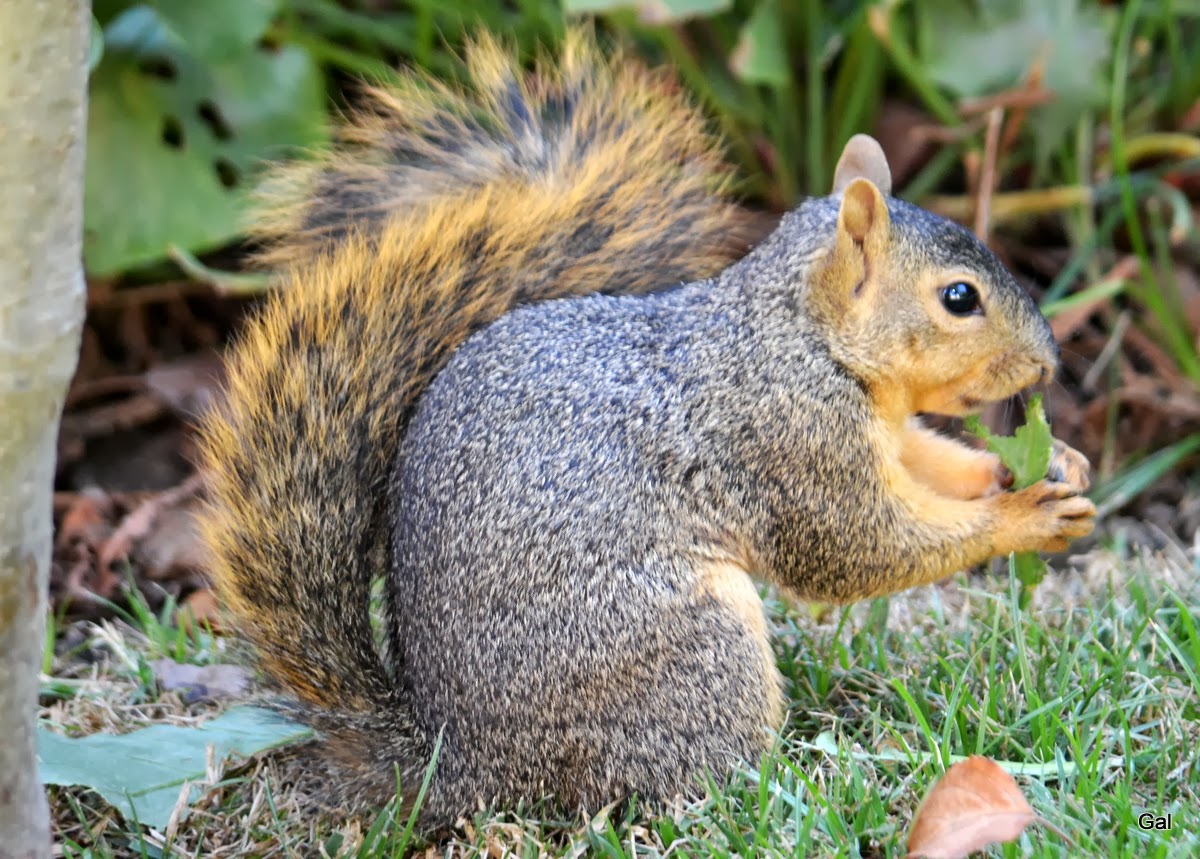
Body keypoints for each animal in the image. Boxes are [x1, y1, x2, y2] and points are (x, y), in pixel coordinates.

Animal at [197, 29, 1096, 827]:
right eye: (959, 298)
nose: (1050, 361)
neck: (802, 334)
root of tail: (457, 765)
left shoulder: (874, 429)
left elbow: (924, 458)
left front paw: (1041, 466)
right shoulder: (787, 439)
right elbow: (855, 548)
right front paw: (1023, 514)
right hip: (689, 647)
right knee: (690, 775)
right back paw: (804, 770)